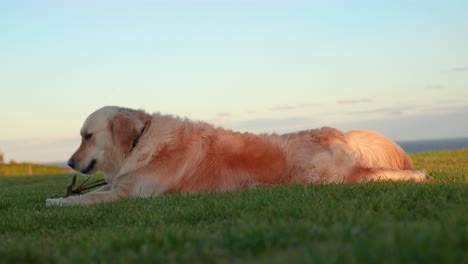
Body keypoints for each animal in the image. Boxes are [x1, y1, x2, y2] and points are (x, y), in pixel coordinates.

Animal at [45, 106, 430, 205]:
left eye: (86, 136)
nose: (69, 163)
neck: (140, 141)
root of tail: (336, 132)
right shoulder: (120, 186)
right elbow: (97, 189)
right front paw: (55, 196)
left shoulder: (130, 195)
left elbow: (84, 199)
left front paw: (56, 202)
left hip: (326, 175)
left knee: (377, 175)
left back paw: (421, 177)